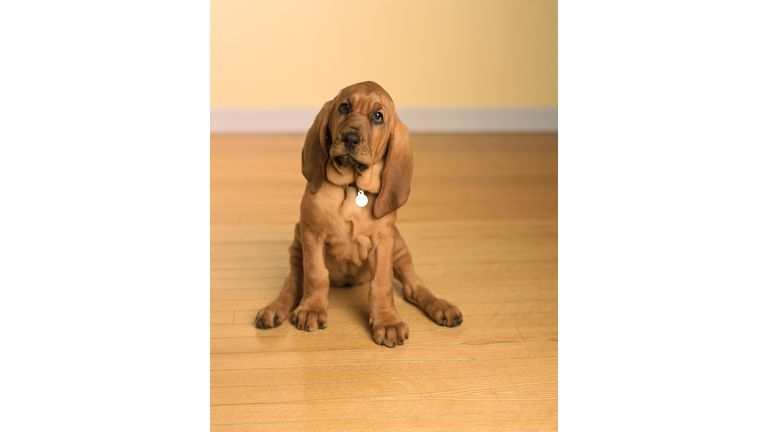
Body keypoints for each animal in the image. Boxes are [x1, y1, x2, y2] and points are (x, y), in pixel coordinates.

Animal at [256, 82, 462, 348]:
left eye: (378, 116)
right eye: (344, 107)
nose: (350, 138)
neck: (352, 187)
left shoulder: (384, 243)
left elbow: (382, 284)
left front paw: (388, 321)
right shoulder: (311, 235)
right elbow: (316, 275)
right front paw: (312, 308)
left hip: (400, 248)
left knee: (414, 286)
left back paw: (441, 306)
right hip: (297, 245)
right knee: (292, 285)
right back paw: (275, 308)